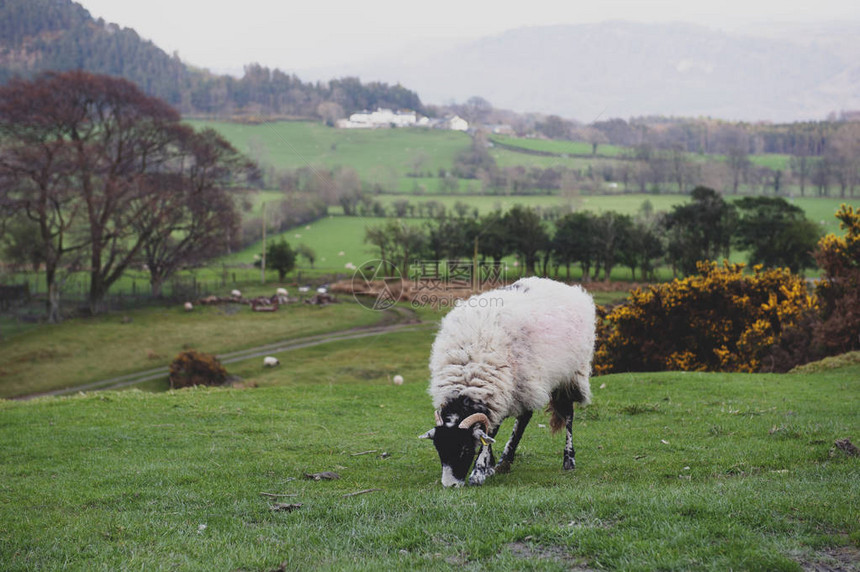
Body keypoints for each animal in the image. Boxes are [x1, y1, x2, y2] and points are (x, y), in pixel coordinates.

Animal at [420, 278, 596, 488]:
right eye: (439, 449)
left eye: (464, 450)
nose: (450, 485)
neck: (469, 372)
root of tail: (565, 286)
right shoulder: (500, 393)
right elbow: (489, 430)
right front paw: (489, 466)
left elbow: (490, 431)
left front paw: (479, 471)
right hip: (525, 383)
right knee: (525, 417)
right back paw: (505, 461)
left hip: (568, 374)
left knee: (567, 415)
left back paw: (568, 460)